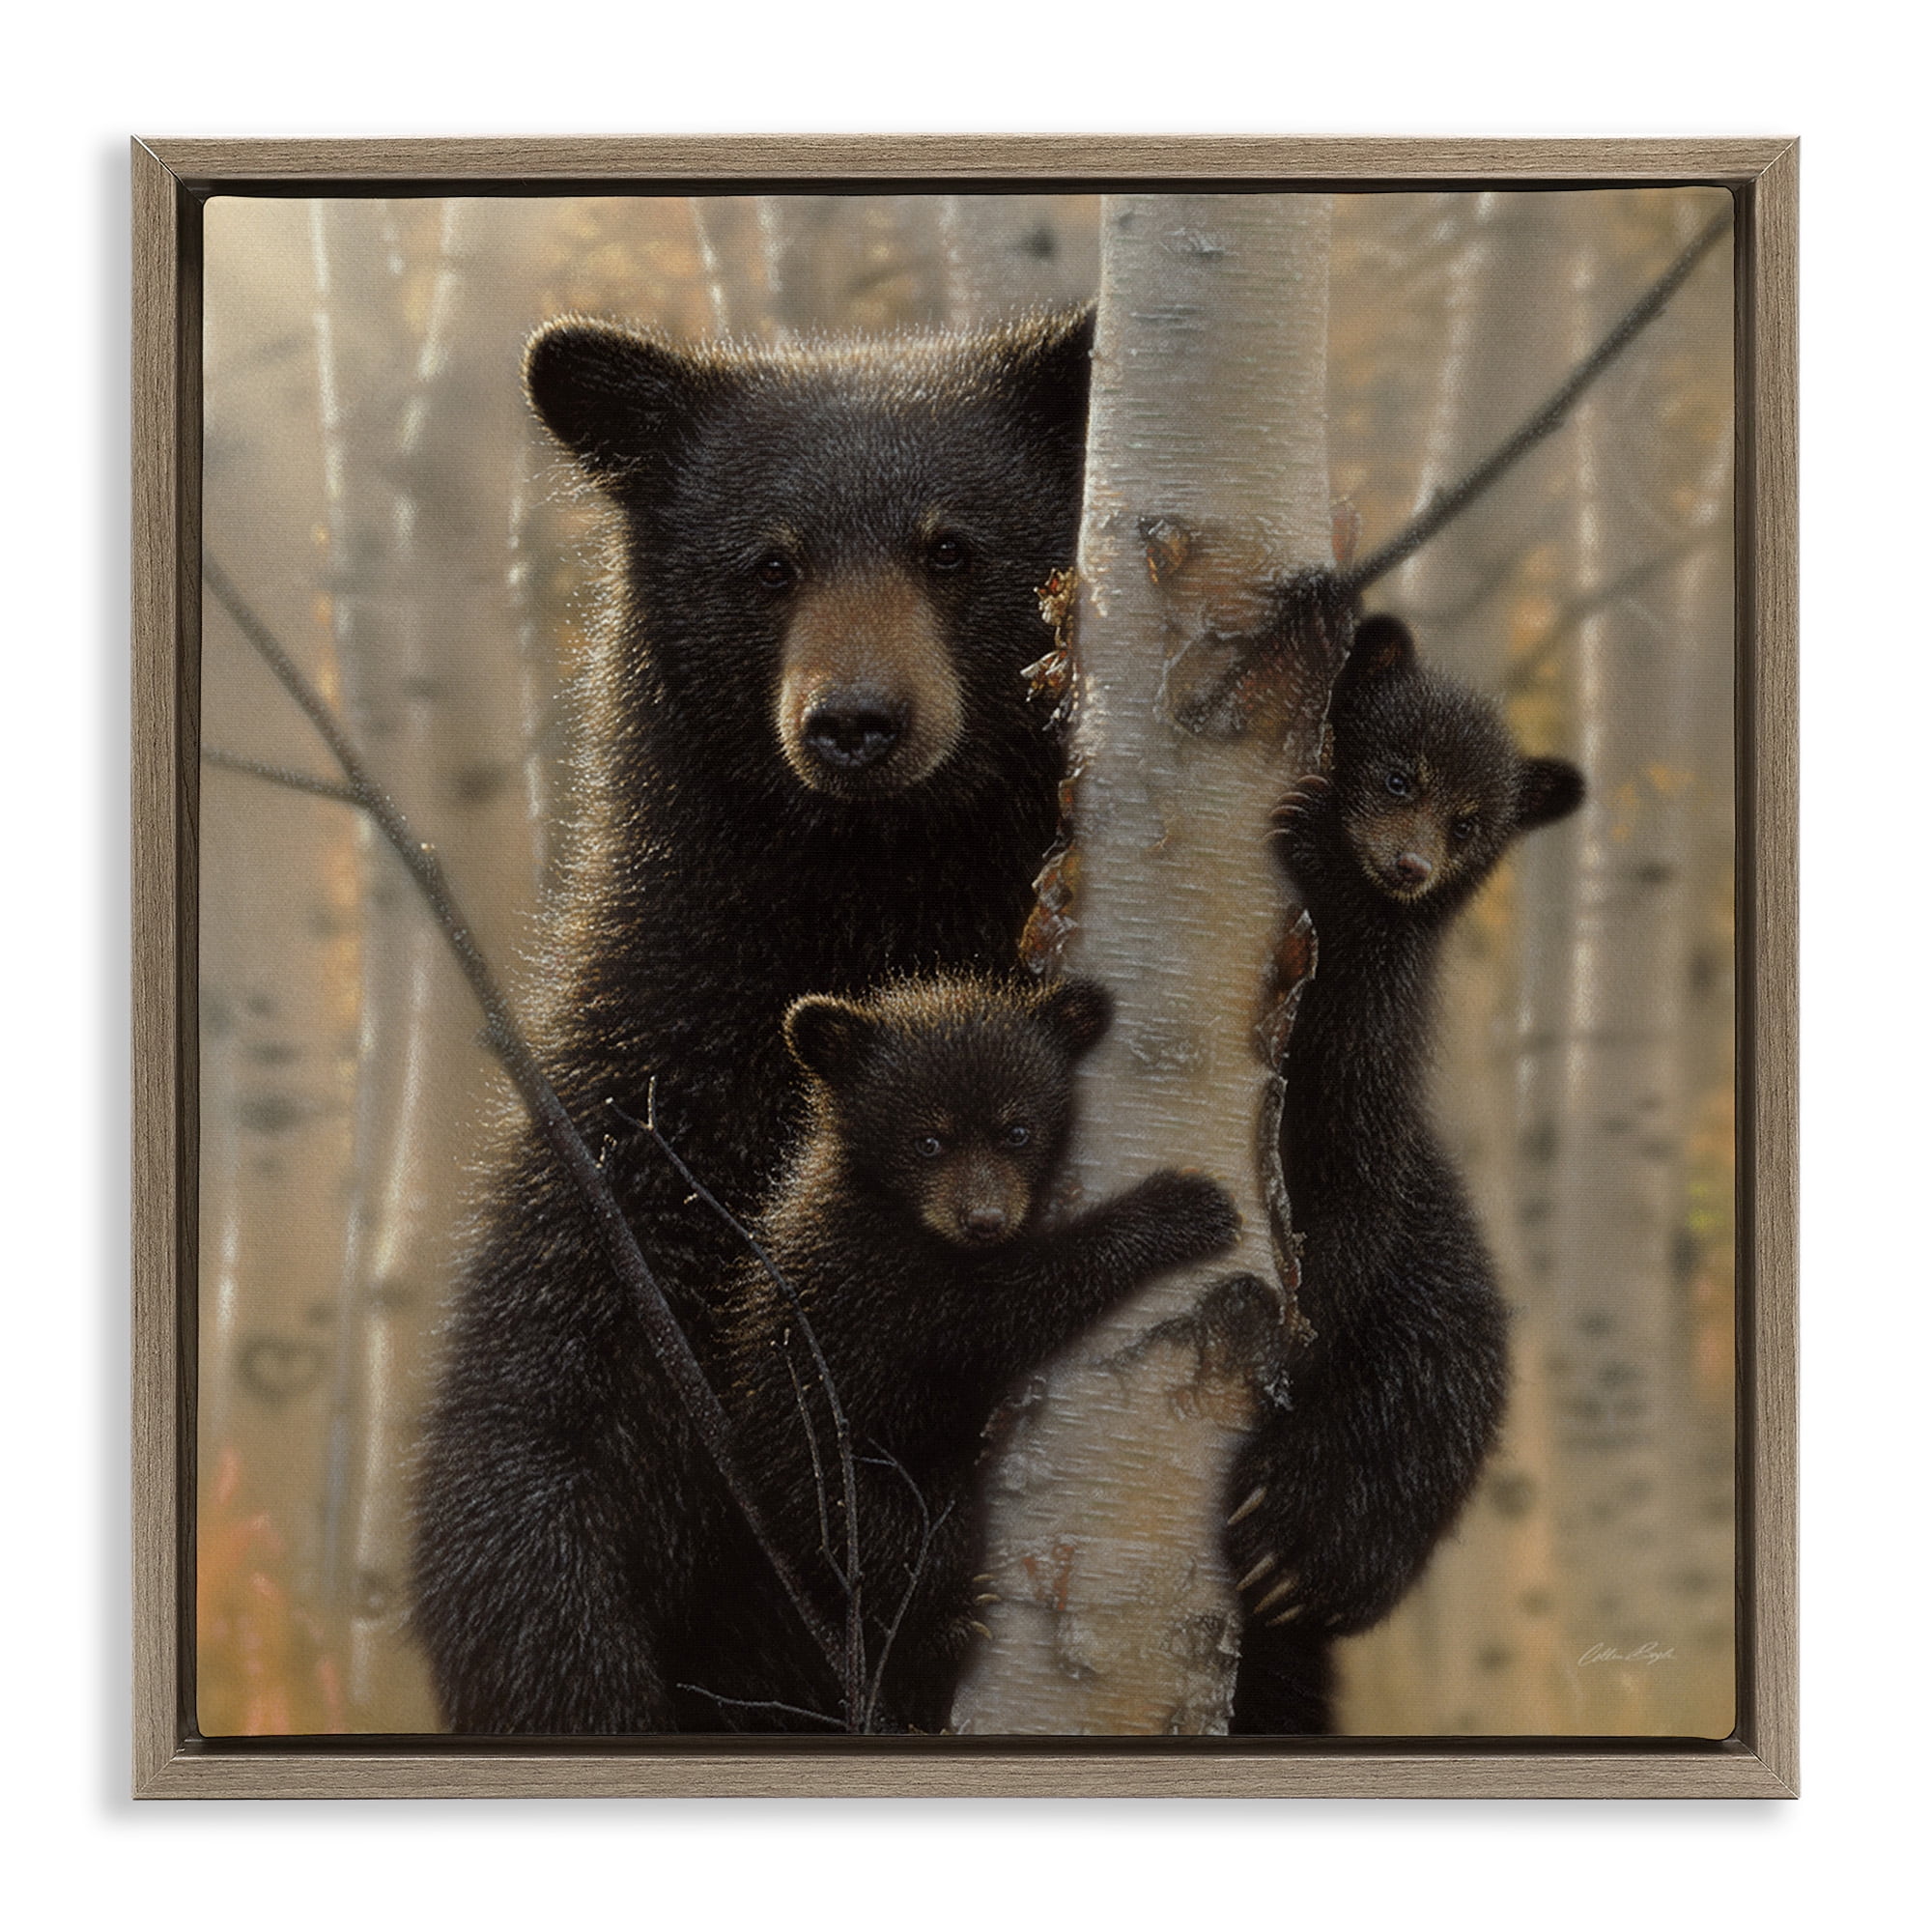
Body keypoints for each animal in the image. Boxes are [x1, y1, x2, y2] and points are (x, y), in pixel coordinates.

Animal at [410, 310, 1097, 1733]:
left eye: (952, 547)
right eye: (768, 564)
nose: (856, 723)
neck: (876, 904)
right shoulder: (654, 1098)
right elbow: (538, 1418)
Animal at [676, 973, 1244, 1733]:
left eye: (1017, 1130)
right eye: (927, 1140)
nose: (983, 1220)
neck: (893, 1208)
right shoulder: (884, 1282)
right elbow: (1001, 1312)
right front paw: (1181, 1207)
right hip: (840, 1482)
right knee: (905, 1546)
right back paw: (940, 1632)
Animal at [1225, 613, 1585, 1735]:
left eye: (1470, 821)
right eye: (1395, 774)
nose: (1410, 865)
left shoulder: (1367, 1068)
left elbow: (1348, 1210)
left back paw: (1294, 1545)